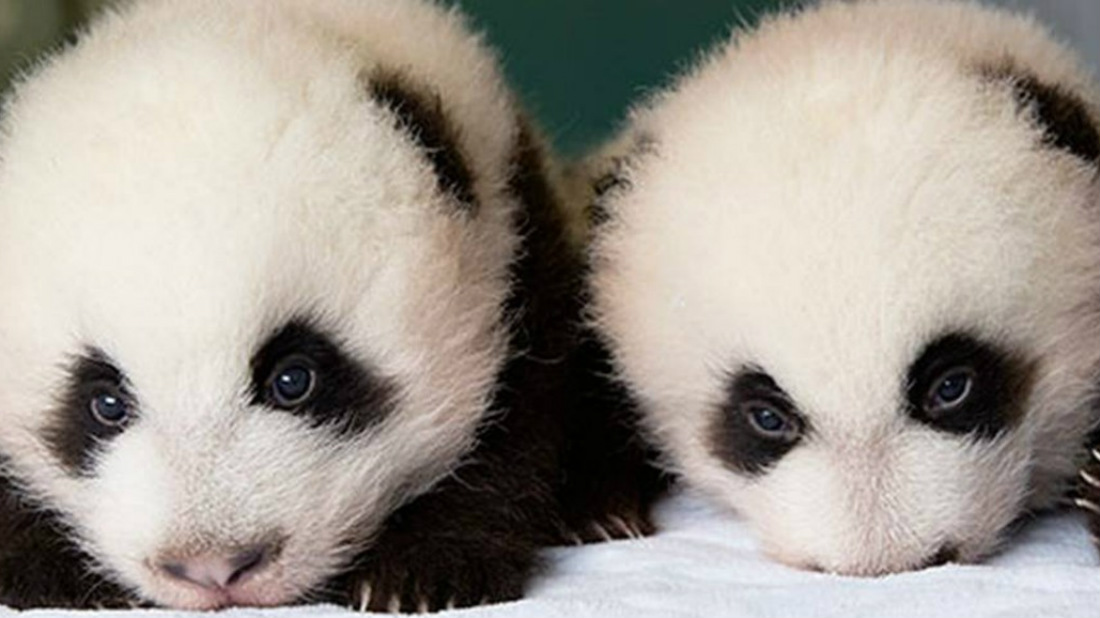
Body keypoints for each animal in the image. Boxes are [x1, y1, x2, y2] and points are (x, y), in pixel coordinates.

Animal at [0, 0, 646, 607]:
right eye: (104, 403)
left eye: (294, 379)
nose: (215, 567)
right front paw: (54, 575)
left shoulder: (516, 244)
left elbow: (517, 419)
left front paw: (419, 571)